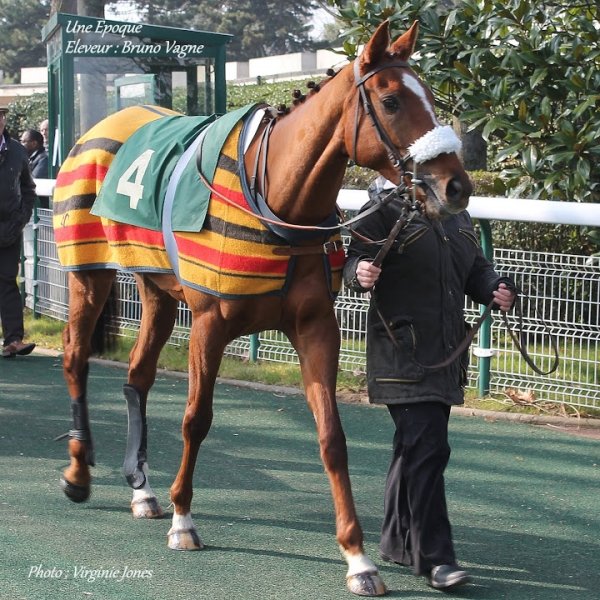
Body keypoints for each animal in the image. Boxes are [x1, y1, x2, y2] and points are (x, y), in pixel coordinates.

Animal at [53, 20, 472, 597]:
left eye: (429, 97)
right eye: (390, 101)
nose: (456, 186)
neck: (275, 198)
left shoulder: (316, 328)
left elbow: (332, 437)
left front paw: (358, 557)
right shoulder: (209, 324)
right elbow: (196, 419)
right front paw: (185, 520)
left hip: (157, 290)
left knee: (137, 376)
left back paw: (142, 489)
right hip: (87, 274)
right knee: (75, 357)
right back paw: (78, 475)